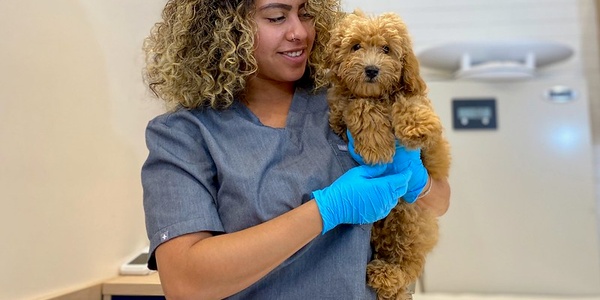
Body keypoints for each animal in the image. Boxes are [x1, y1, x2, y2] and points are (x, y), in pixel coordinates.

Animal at [328, 10, 450, 298]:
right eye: (356, 46)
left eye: (386, 49)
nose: (372, 69)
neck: (379, 96)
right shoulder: (338, 114)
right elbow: (360, 104)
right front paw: (376, 144)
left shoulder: (432, 140)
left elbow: (408, 100)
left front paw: (417, 126)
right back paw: (383, 274)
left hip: (409, 220)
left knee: (408, 263)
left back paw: (386, 274)